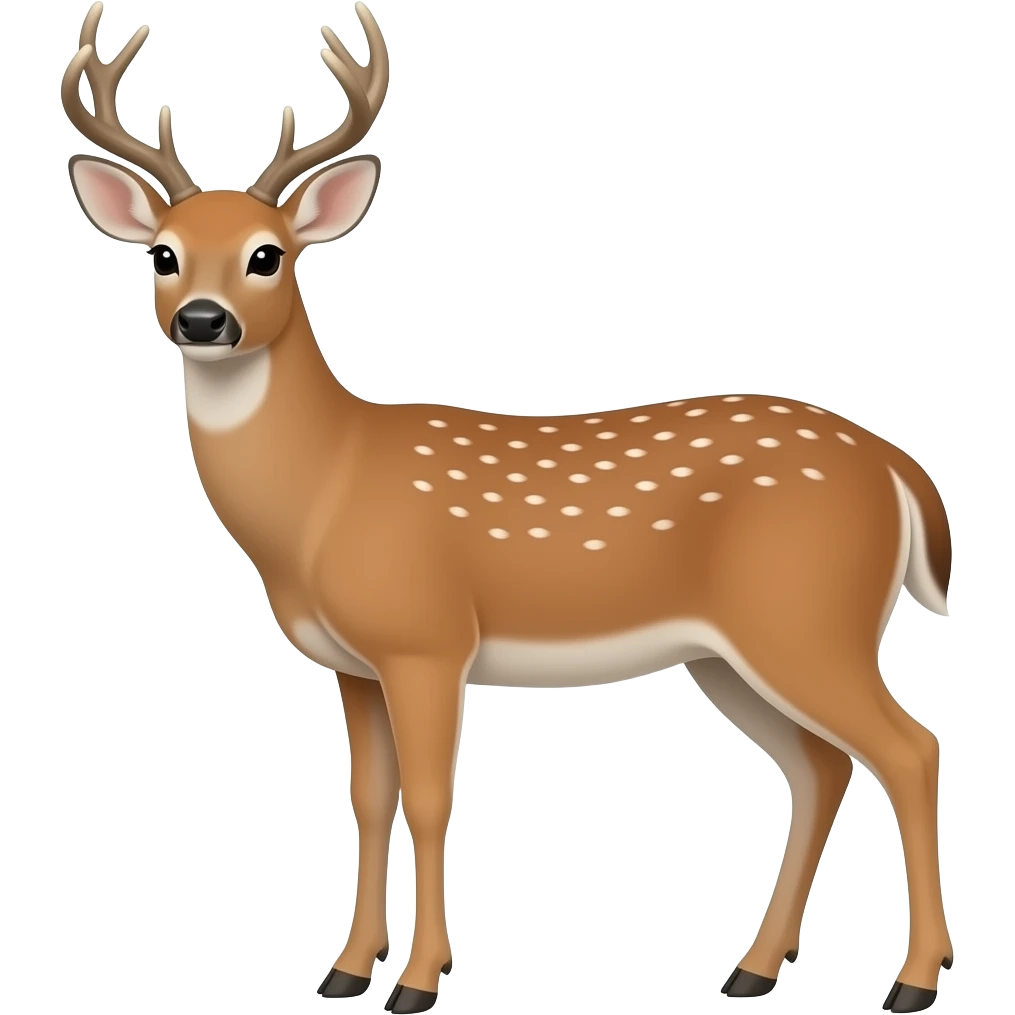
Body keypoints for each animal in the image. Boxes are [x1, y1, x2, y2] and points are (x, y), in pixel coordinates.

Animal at [61, 4, 955, 1012]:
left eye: (268, 255)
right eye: (163, 254)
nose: (203, 320)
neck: (326, 490)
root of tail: (897, 468)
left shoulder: (426, 637)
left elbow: (428, 798)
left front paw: (416, 980)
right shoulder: (354, 663)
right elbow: (366, 798)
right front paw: (344, 969)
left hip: (806, 615)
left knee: (909, 748)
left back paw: (911, 979)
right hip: (729, 651)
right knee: (821, 764)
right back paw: (750, 970)